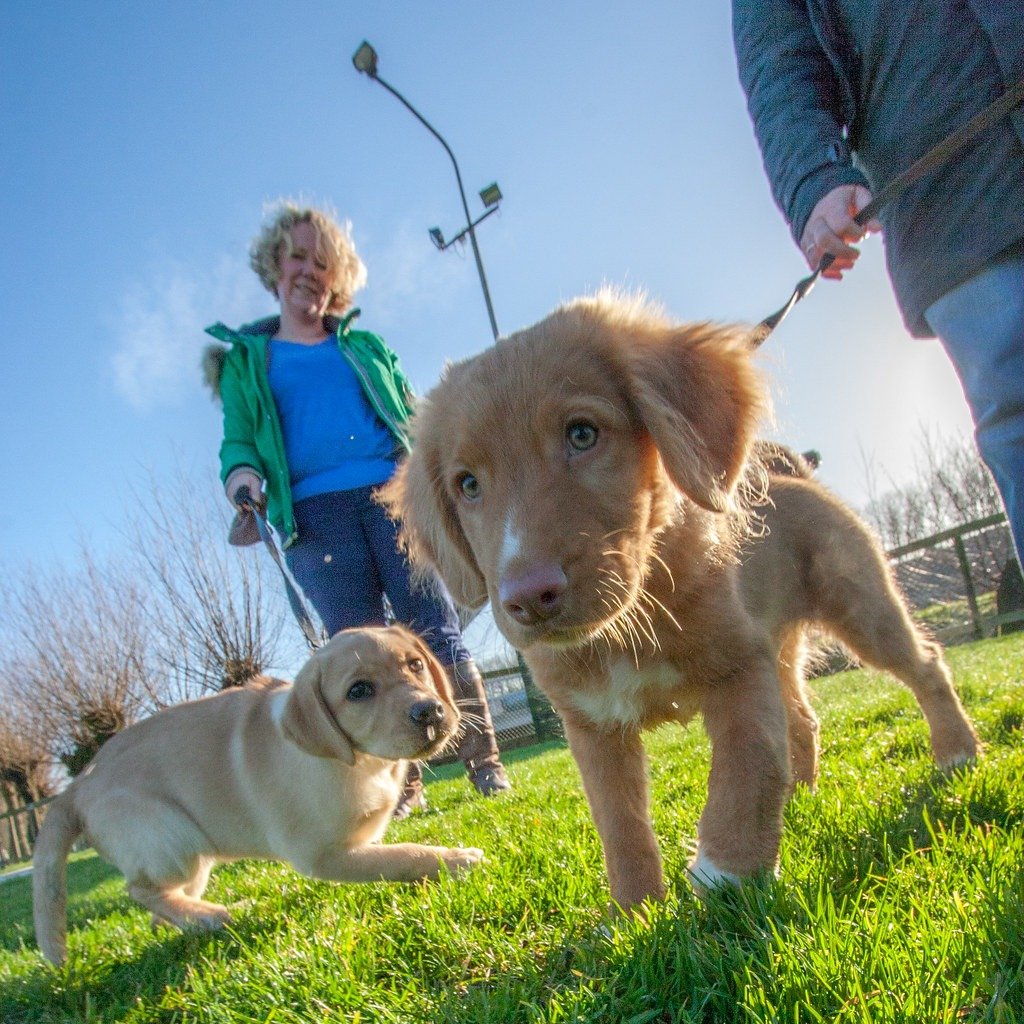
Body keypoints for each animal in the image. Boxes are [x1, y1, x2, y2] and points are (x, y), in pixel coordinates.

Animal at [32, 622, 479, 966]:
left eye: (415, 664)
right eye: (359, 691)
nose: (431, 712)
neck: (358, 763)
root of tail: (78, 785)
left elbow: (392, 852)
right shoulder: (321, 854)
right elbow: (402, 854)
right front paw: (456, 859)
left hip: (193, 856)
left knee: (162, 903)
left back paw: (194, 920)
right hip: (172, 840)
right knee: (140, 889)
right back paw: (212, 917)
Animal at [382, 292, 974, 909]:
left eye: (582, 434)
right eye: (468, 484)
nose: (528, 599)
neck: (629, 621)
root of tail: (793, 476)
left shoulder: (739, 668)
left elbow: (747, 768)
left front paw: (726, 872)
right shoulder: (591, 724)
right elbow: (621, 826)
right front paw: (633, 910)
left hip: (861, 605)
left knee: (924, 664)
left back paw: (955, 753)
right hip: (780, 648)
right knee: (802, 721)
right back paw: (803, 798)